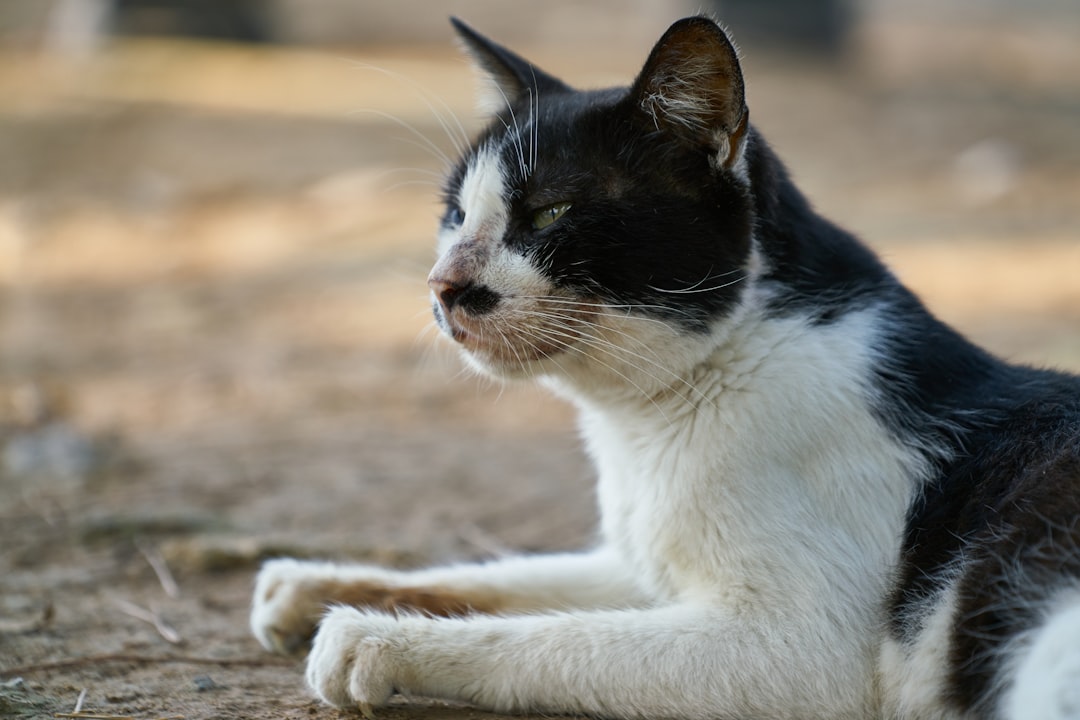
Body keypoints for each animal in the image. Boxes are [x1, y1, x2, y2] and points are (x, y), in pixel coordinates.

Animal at [252, 16, 1080, 720]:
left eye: (552, 213)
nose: (443, 285)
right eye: (455, 215)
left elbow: (559, 638)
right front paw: (315, 585)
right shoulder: (640, 562)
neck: (647, 426)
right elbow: (510, 578)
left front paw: (374, 638)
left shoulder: (797, 649)